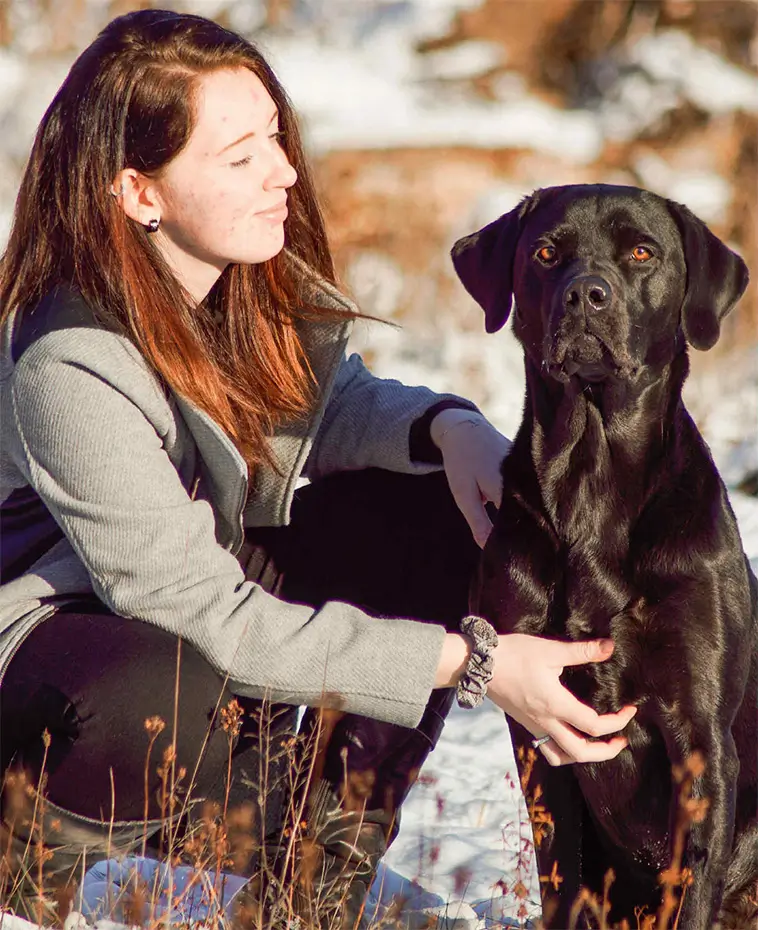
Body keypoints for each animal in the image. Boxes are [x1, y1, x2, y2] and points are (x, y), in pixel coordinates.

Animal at [452, 184, 758, 929]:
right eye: (545, 252)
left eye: (642, 253)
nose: (586, 295)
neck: (593, 485)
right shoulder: (538, 732)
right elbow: (560, 874)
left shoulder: (702, 737)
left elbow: (692, 888)